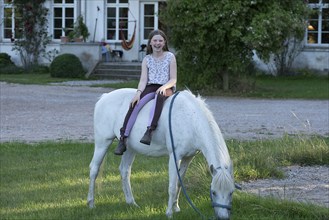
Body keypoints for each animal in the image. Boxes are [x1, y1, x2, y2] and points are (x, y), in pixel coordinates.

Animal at [87, 88, 236, 219]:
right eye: (213, 192)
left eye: (231, 192)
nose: (223, 217)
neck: (190, 119)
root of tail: (104, 97)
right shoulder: (175, 156)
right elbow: (172, 185)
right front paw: (169, 213)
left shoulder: (188, 158)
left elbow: (179, 183)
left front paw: (176, 208)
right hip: (103, 142)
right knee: (94, 169)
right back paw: (91, 203)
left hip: (129, 148)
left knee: (125, 171)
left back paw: (132, 203)